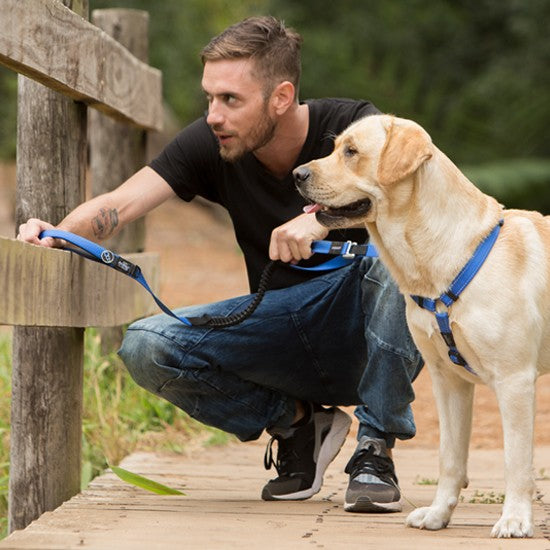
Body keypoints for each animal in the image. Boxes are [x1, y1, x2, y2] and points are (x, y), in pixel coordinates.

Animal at [296, 114, 548, 540]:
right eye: (334, 147)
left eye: (352, 152)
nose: (297, 174)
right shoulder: (449, 381)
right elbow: (450, 458)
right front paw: (438, 514)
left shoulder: (515, 380)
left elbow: (516, 460)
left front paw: (514, 519)